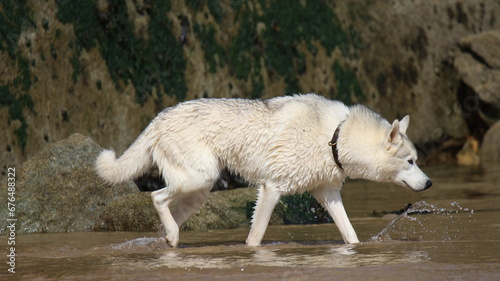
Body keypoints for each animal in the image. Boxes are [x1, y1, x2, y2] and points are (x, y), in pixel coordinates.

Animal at [95, 93, 432, 245]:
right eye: (410, 161)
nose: (429, 184)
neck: (335, 136)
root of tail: (159, 117)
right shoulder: (271, 189)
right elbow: (255, 237)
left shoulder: (328, 195)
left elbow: (351, 236)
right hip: (198, 180)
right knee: (156, 198)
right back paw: (173, 236)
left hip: (198, 192)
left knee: (165, 220)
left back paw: (169, 240)